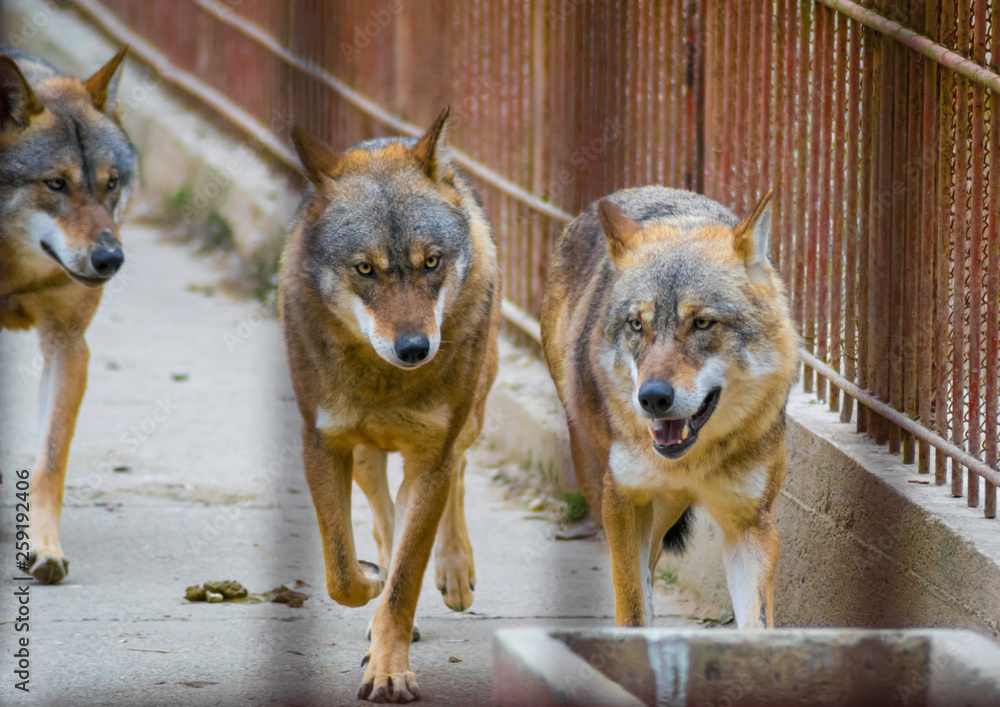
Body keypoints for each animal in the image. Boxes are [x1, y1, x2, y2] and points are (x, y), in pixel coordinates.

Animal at [0, 46, 136, 584]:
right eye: (55, 184)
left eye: (111, 184)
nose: (110, 259)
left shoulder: (68, 344)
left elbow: (49, 464)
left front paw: (43, 548)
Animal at [279, 107, 501, 703]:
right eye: (365, 269)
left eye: (431, 262)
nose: (415, 348)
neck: (385, 383)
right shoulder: (321, 444)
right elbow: (341, 572)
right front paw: (370, 588)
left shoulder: (432, 456)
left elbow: (406, 578)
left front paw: (388, 671)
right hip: (362, 455)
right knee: (383, 517)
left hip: (470, 419)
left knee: (454, 481)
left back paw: (454, 573)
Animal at [541, 186, 798, 629]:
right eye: (636, 324)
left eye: (702, 323)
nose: (653, 397)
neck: (690, 464)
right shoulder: (623, 504)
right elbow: (632, 611)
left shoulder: (751, 525)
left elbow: (757, 625)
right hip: (602, 485)